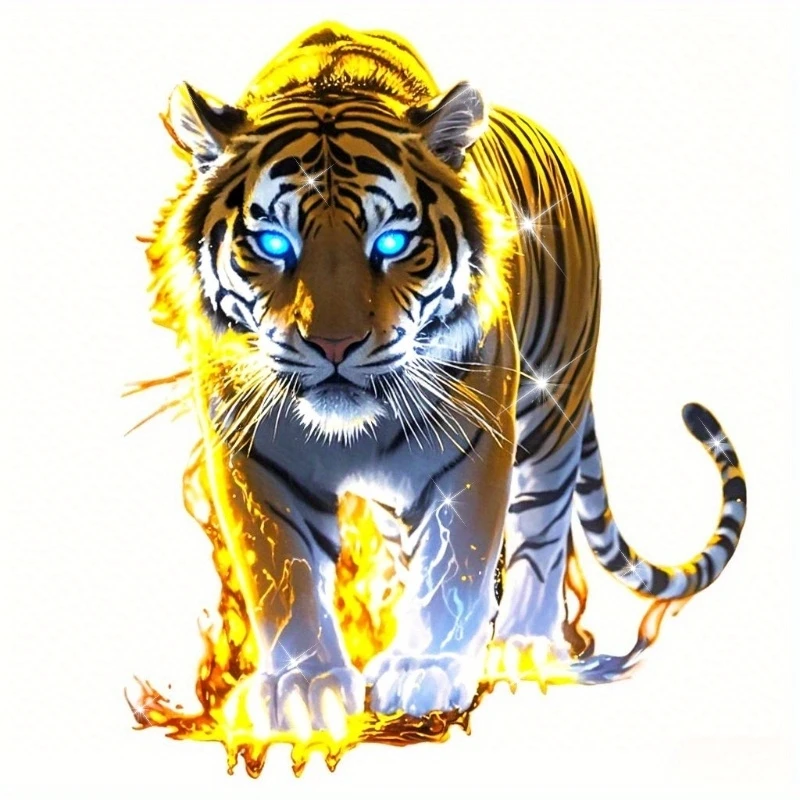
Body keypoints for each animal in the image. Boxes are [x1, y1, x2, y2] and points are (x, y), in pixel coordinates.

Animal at [145, 21, 747, 734]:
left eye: (390, 244)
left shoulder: (475, 437)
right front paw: (305, 686)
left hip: (553, 412)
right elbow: (283, 576)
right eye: (273, 246)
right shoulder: (253, 453)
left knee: (543, 529)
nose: (334, 344)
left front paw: (424, 670)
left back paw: (524, 647)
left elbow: (458, 557)